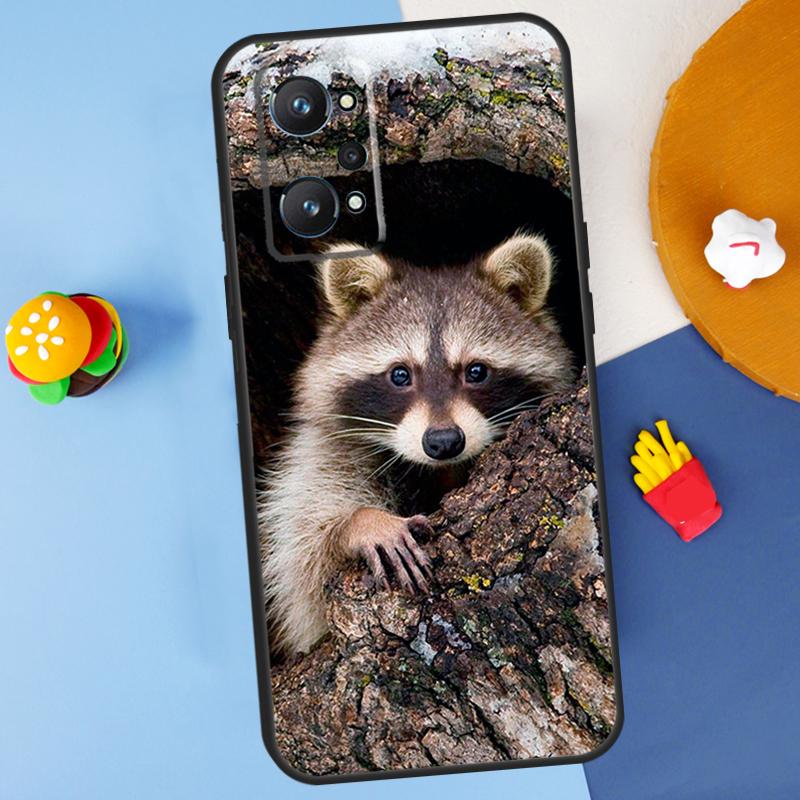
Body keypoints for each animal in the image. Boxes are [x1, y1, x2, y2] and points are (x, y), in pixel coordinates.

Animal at [260, 232, 575, 657]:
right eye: (400, 374)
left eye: (476, 371)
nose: (443, 442)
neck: (441, 471)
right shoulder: (325, 449)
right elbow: (303, 561)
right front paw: (361, 522)